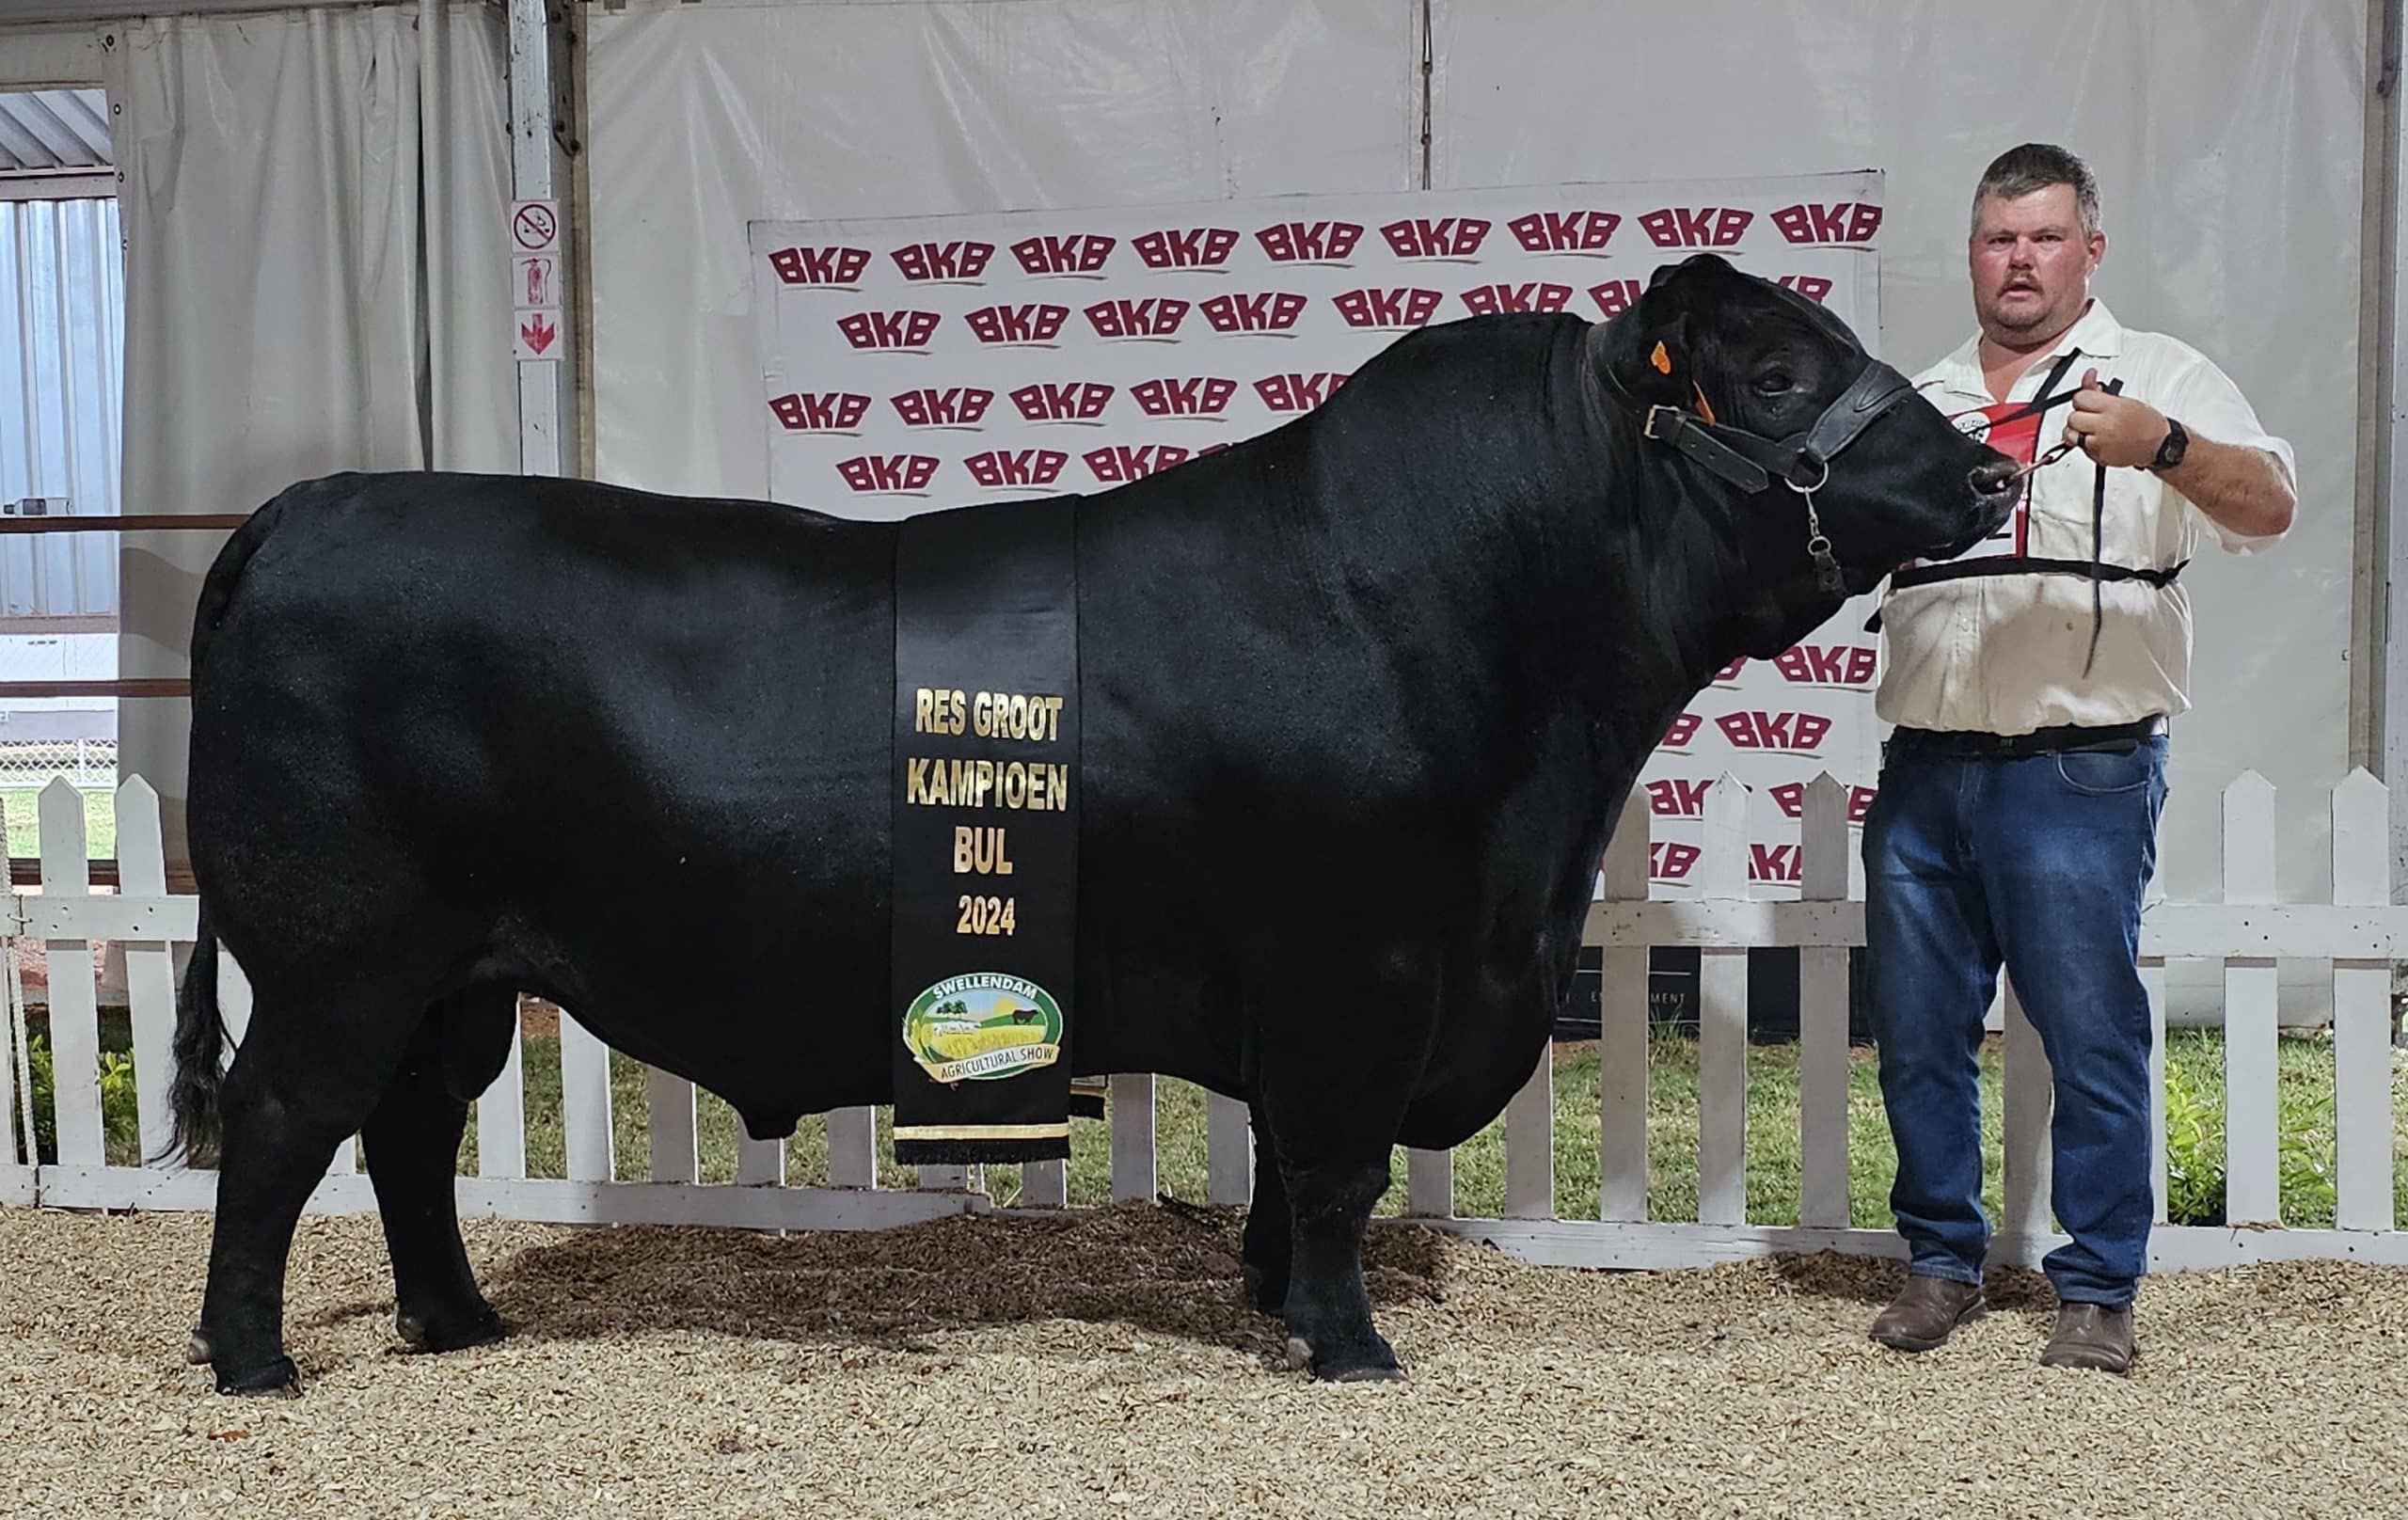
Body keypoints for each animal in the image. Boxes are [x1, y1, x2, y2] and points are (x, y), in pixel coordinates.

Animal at [165, 249, 2013, 1387]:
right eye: (1770, 373)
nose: (1994, 474)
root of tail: (306, 508)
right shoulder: (1359, 970)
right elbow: (1339, 1167)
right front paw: (1351, 1345)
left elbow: (1290, 1177)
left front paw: (1272, 1297)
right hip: (342, 954)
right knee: (282, 1123)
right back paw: (257, 1360)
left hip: (457, 974)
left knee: (407, 1133)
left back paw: (458, 1321)